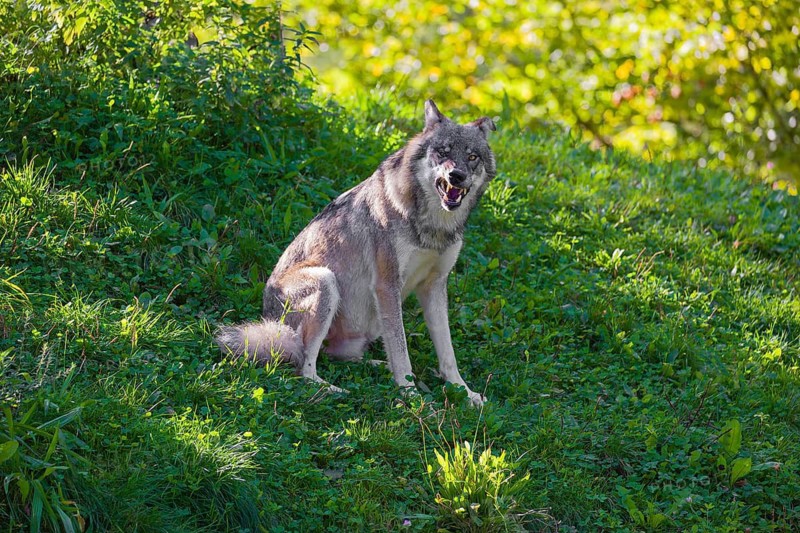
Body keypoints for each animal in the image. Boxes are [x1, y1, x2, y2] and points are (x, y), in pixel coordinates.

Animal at [216, 100, 496, 406]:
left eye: (471, 157)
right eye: (443, 151)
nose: (456, 176)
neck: (433, 227)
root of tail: (268, 318)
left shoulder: (434, 286)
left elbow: (447, 353)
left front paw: (463, 391)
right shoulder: (387, 285)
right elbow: (401, 351)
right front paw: (412, 397)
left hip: (368, 319)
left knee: (338, 355)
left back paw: (376, 367)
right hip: (326, 282)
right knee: (304, 366)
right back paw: (333, 390)